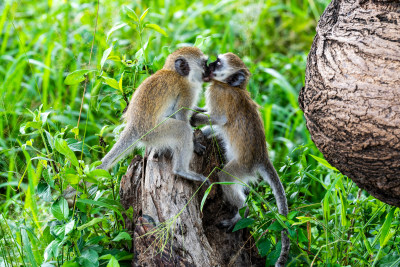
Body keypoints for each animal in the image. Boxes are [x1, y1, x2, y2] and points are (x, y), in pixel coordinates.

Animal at [97, 46, 209, 184]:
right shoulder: (187, 90)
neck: (175, 72)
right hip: (155, 132)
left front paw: (200, 110)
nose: (209, 71)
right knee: (182, 129)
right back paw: (182, 171)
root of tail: (134, 127)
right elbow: (181, 114)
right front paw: (195, 143)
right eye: (204, 64)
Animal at [191, 53, 290, 266]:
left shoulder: (218, 93)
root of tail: (262, 156)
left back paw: (241, 213)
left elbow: (218, 119)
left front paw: (192, 118)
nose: (208, 66)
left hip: (243, 166)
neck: (230, 86)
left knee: (225, 175)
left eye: (218, 63)